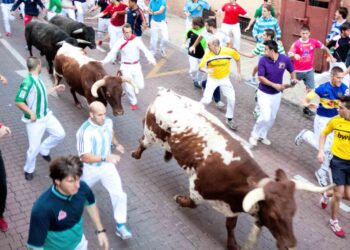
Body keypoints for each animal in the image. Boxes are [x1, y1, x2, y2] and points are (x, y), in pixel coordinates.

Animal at [131, 88, 334, 250]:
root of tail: (166, 93)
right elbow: (192, 203)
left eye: (293, 212)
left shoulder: (233, 207)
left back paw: (167, 154)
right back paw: (136, 154)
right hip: (151, 133)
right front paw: (179, 199)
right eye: (275, 214)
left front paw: (232, 244)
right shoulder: (197, 188)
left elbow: (230, 226)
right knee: (142, 142)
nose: (290, 245)